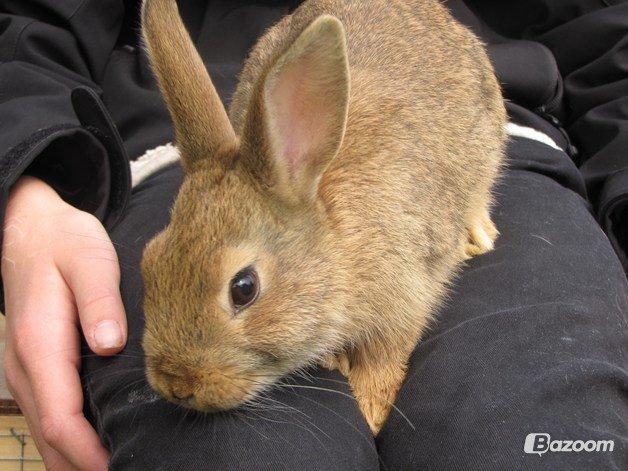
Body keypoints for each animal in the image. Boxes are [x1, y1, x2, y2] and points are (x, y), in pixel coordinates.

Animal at [140, 0, 508, 436]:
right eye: (149, 263)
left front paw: (369, 410)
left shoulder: (405, 295)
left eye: (244, 288)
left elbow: (384, 360)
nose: (177, 386)